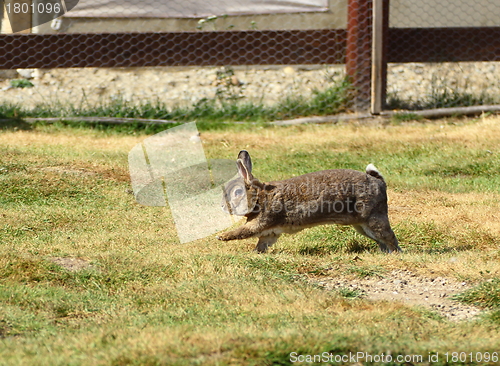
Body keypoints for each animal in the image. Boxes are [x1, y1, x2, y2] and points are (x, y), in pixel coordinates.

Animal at [217, 150, 400, 253]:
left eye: (237, 192)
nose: (222, 206)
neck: (261, 197)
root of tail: (379, 182)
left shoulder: (261, 222)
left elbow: (243, 231)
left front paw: (222, 236)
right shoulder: (270, 233)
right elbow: (263, 243)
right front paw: (255, 253)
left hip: (373, 219)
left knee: (389, 237)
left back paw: (395, 253)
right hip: (362, 226)